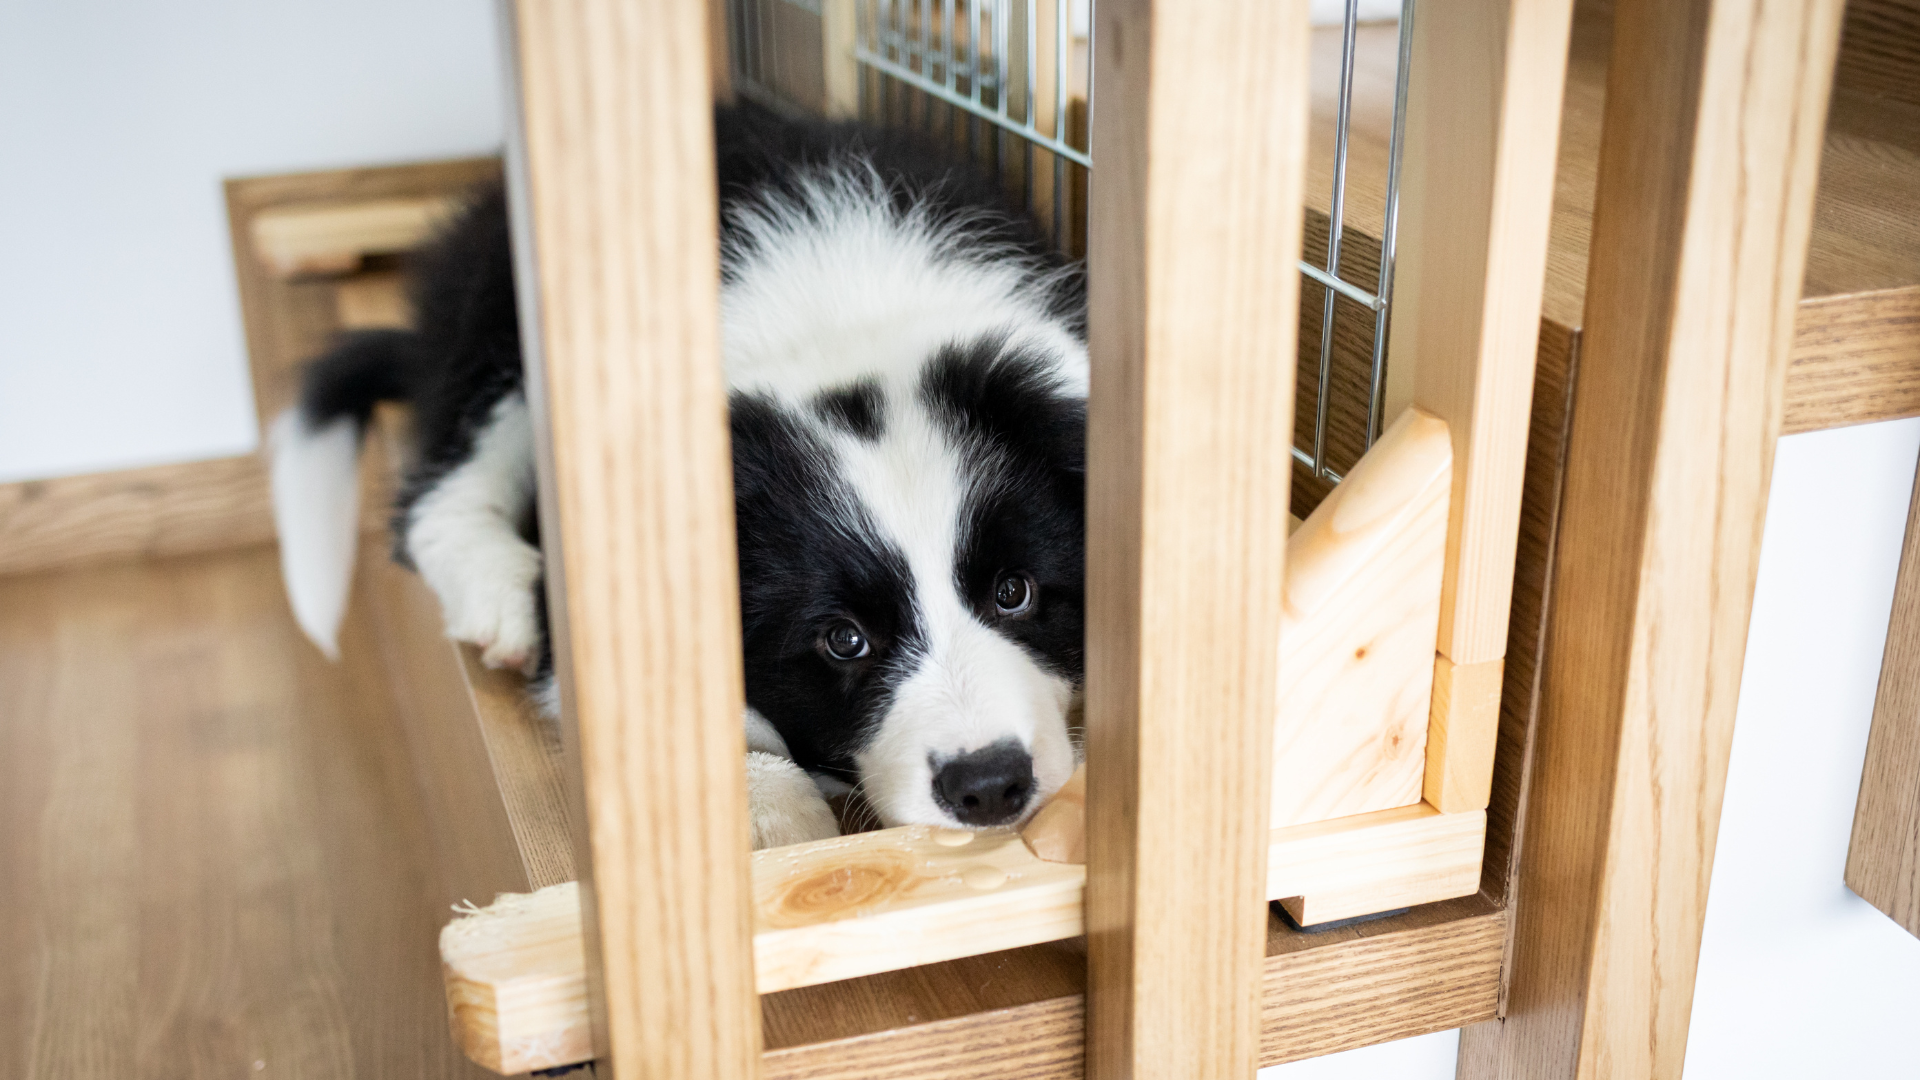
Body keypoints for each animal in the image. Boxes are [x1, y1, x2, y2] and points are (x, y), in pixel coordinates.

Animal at [270, 109, 1090, 849]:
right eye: (843, 640)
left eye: (1014, 592)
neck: (840, 326)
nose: (988, 784)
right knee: (442, 488)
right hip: (498, 329)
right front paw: (766, 811)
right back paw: (499, 595)